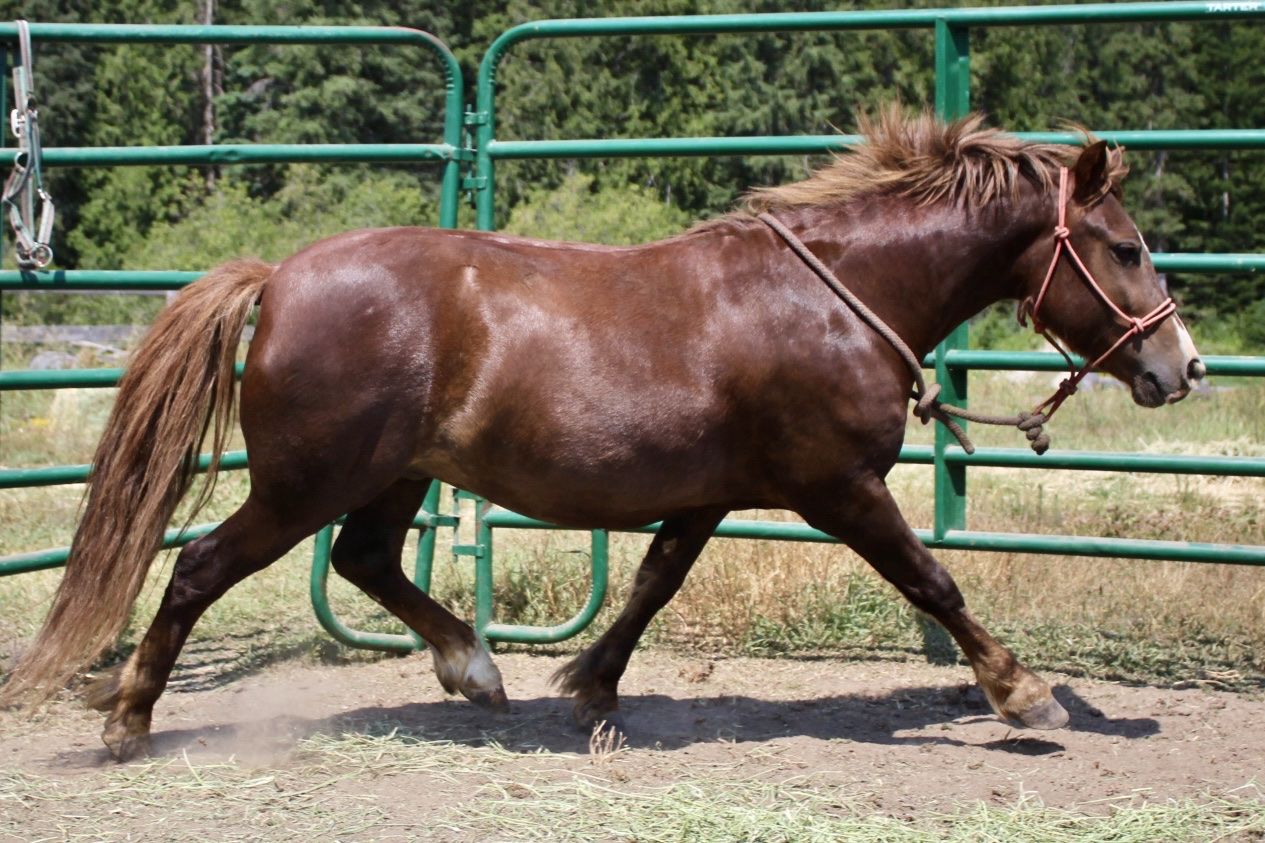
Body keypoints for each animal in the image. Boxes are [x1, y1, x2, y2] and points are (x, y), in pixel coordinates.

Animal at [1, 110, 1204, 761]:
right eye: (1124, 245)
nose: (1180, 367)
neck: (834, 297)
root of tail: (279, 278)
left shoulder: (714, 491)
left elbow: (652, 584)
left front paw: (588, 687)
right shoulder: (838, 488)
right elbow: (933, 581)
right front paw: (1024, 692)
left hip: (392, 476)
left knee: (367, 560)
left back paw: (474, 668)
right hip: (305, 480)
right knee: (203, 567)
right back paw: (128, 722)